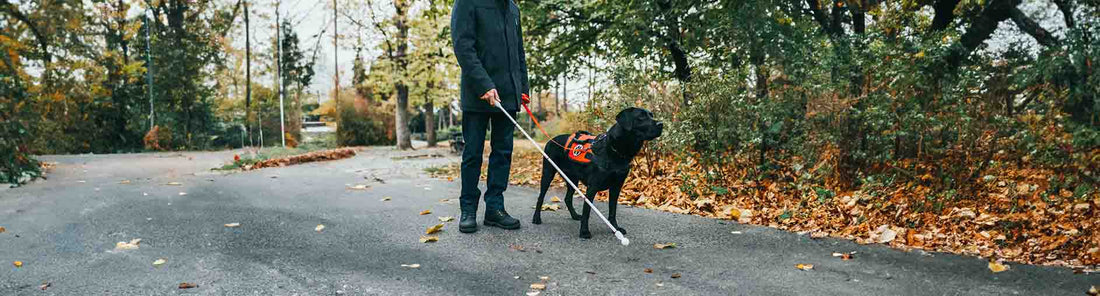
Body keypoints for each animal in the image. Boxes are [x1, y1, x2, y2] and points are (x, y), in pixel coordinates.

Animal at [530, 106, 660, 237]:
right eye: (641, 116)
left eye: (651, 115)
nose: (661, 124)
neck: (615, 151)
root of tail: (551, 140)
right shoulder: (592, 187)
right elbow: (587, 211)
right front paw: (584, 231)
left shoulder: (616, 186)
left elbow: (612, 210)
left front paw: (615, 228)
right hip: (548, 174)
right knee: (540, 197)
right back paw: (536, 218)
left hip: (572, 179)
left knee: (567, 198)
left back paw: (574, 215)